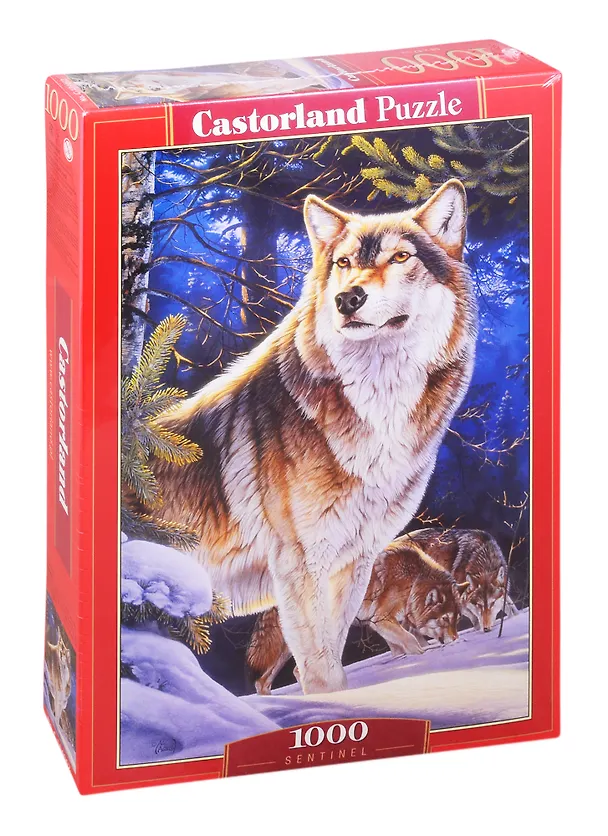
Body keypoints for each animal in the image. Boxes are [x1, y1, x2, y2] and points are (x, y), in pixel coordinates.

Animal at [247, 537, 466, 695]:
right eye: (444, 618)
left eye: (456, 619)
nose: (456, 639)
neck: (412, 580)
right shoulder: (382, 618)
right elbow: (411, 641)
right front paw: (422, 656)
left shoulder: (386, 623)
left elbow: (403, 645)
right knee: (291, 673)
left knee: (266, 680)